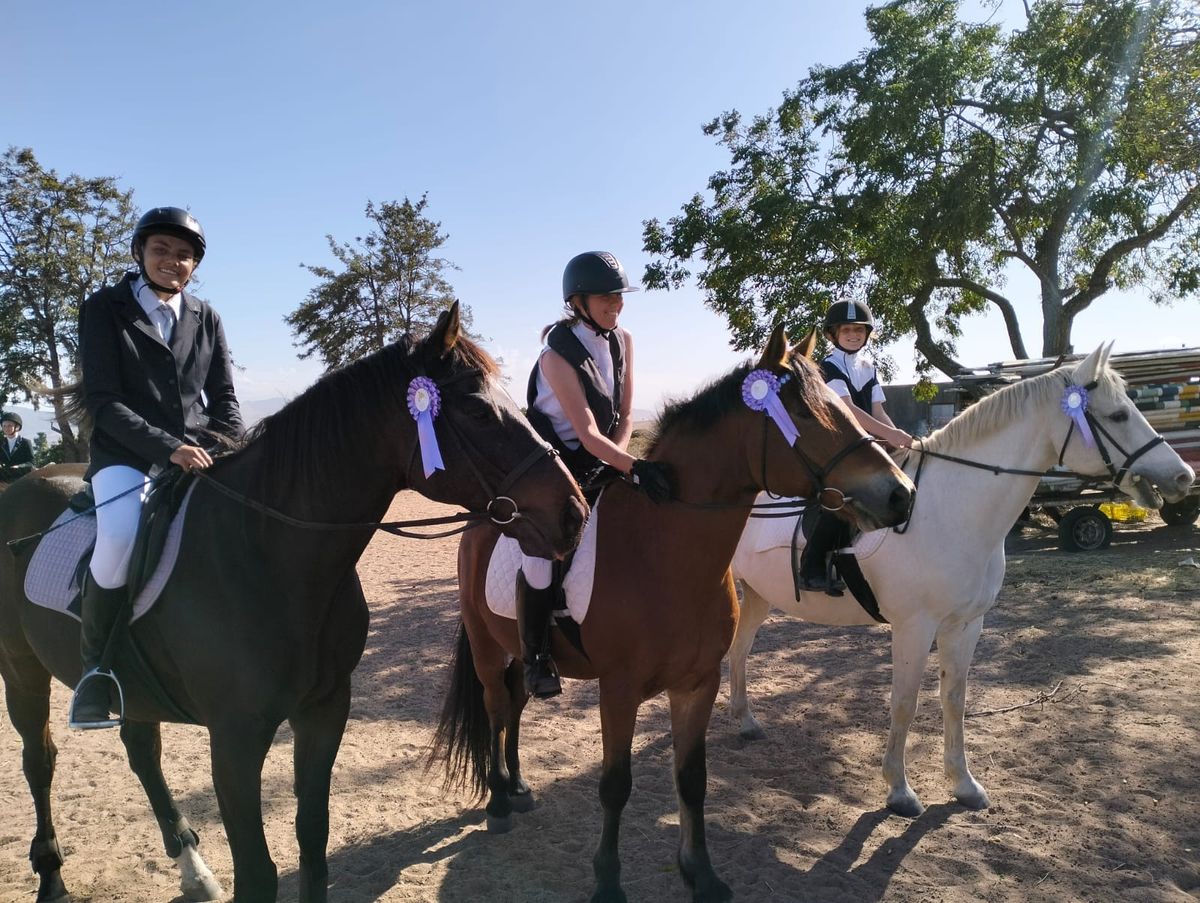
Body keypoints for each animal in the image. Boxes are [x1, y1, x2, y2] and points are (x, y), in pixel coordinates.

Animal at [0, 305, 585, 903]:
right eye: (477, 409)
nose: (574, 511)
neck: (267, 554)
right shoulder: (234, 739)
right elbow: (258, 871)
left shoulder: (323, 710)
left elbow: (313, 839)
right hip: (21, 670)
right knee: (39, 761)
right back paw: (52, 874)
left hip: (133, 689)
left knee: (141, 749)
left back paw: (192, 866)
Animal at [436, 326, 912, 903]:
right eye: (801, 412)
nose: (900, 494)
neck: (664, 552)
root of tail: (484, 517)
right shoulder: (618, 690)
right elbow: (615, 785)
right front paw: (607, 882)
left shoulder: (697, 683)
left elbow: (692, 779)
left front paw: (699, 873)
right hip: (487, 648)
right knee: (496, 706)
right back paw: (500, 802)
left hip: (524, 654)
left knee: (515, 705)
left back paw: (520, 786)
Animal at [724, 341, 1195, 816]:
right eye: (1118, 415)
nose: (1183, 476)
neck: (949, 511)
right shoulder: (913, 627)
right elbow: (904, 704)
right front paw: (899, 790)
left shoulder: (966, 624)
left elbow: (954, 699)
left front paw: (964, 784)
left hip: (758, 595)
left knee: (739, 651)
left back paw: (745, 722)